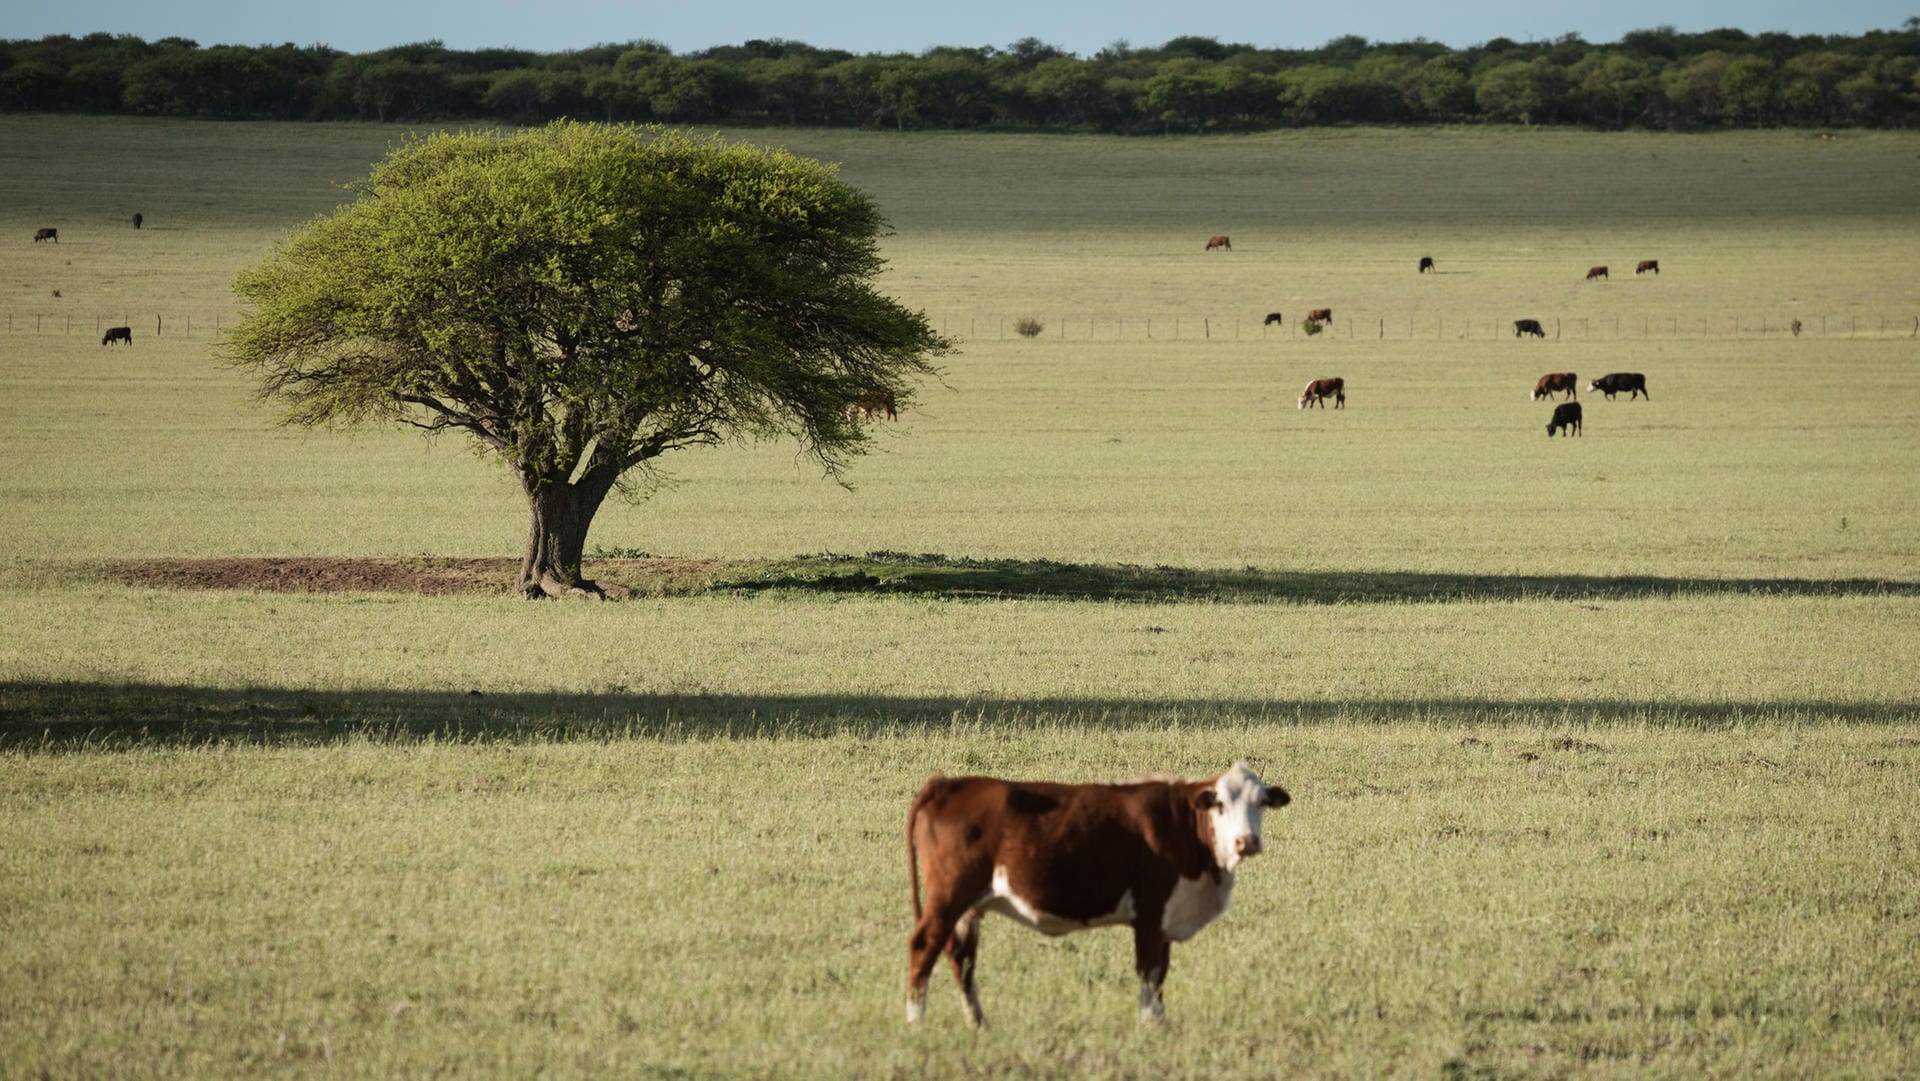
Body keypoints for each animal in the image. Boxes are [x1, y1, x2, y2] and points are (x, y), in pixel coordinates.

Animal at [902, 764, 1290, 1029]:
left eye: (1261, 803)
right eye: (1220, 805)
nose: (1247, 841)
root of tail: (949, 784)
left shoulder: (1166, 919)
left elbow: (1161, 973)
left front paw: (1161, 1024)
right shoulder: (1150, 913)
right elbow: (1149, 971)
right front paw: (1150, 1026)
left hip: (969, 908)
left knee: (962, 958)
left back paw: (978, 1023)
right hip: (948, 897)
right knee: (924, 947)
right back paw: (916, 1022)